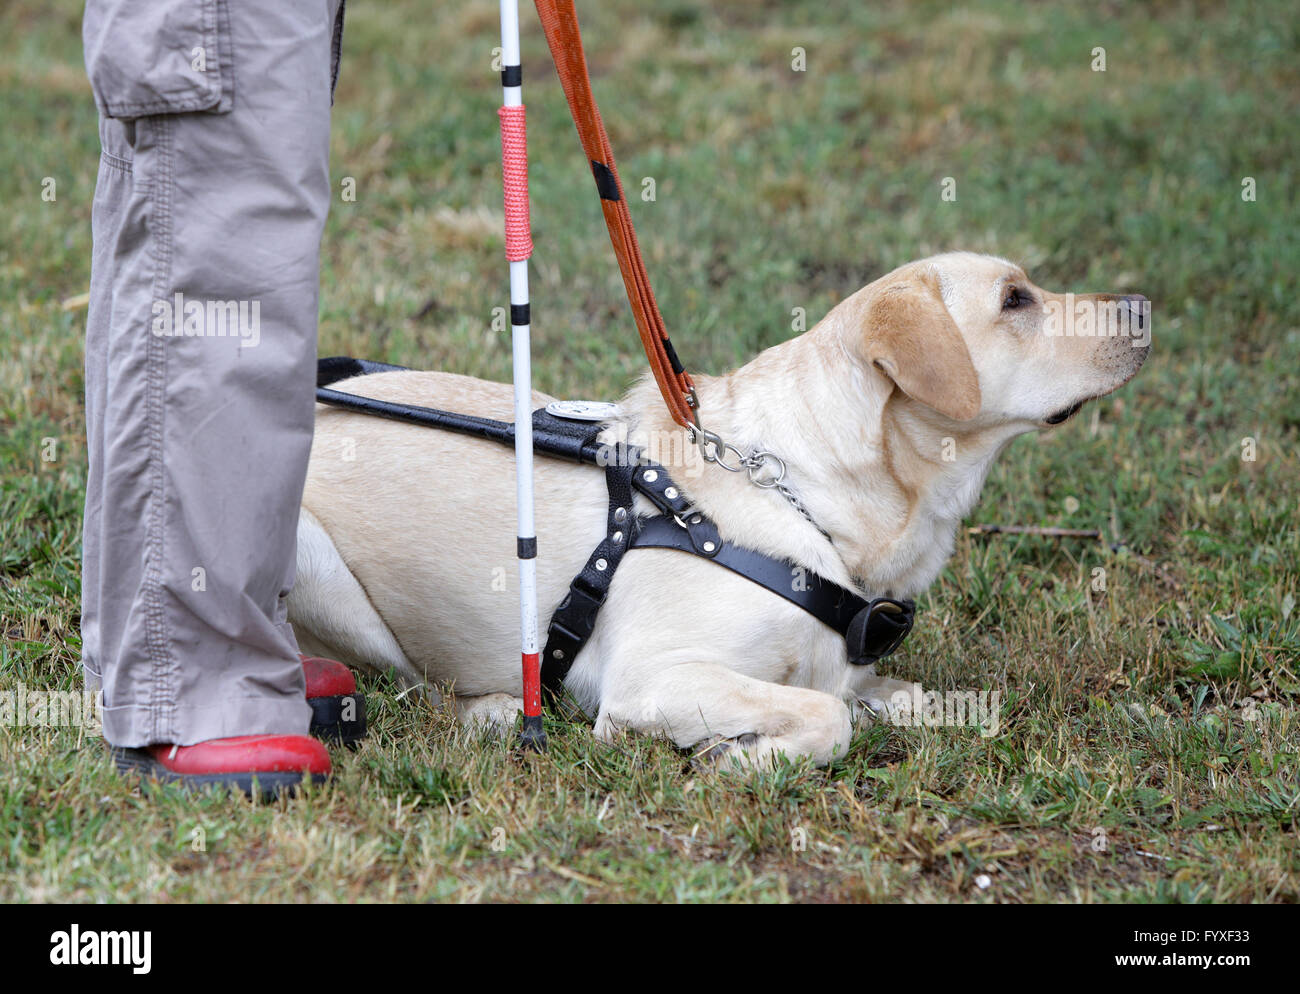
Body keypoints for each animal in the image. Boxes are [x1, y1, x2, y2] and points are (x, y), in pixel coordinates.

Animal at [292, 252, 1149, 764]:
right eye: (1016, 299)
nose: (1143, 305)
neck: (807, 499)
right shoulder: (652, 678)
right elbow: (827, 717)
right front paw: (743, 757)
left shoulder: (855, 672)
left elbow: (912, 702)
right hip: (317, 565)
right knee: (403, 682)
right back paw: (496, 710)